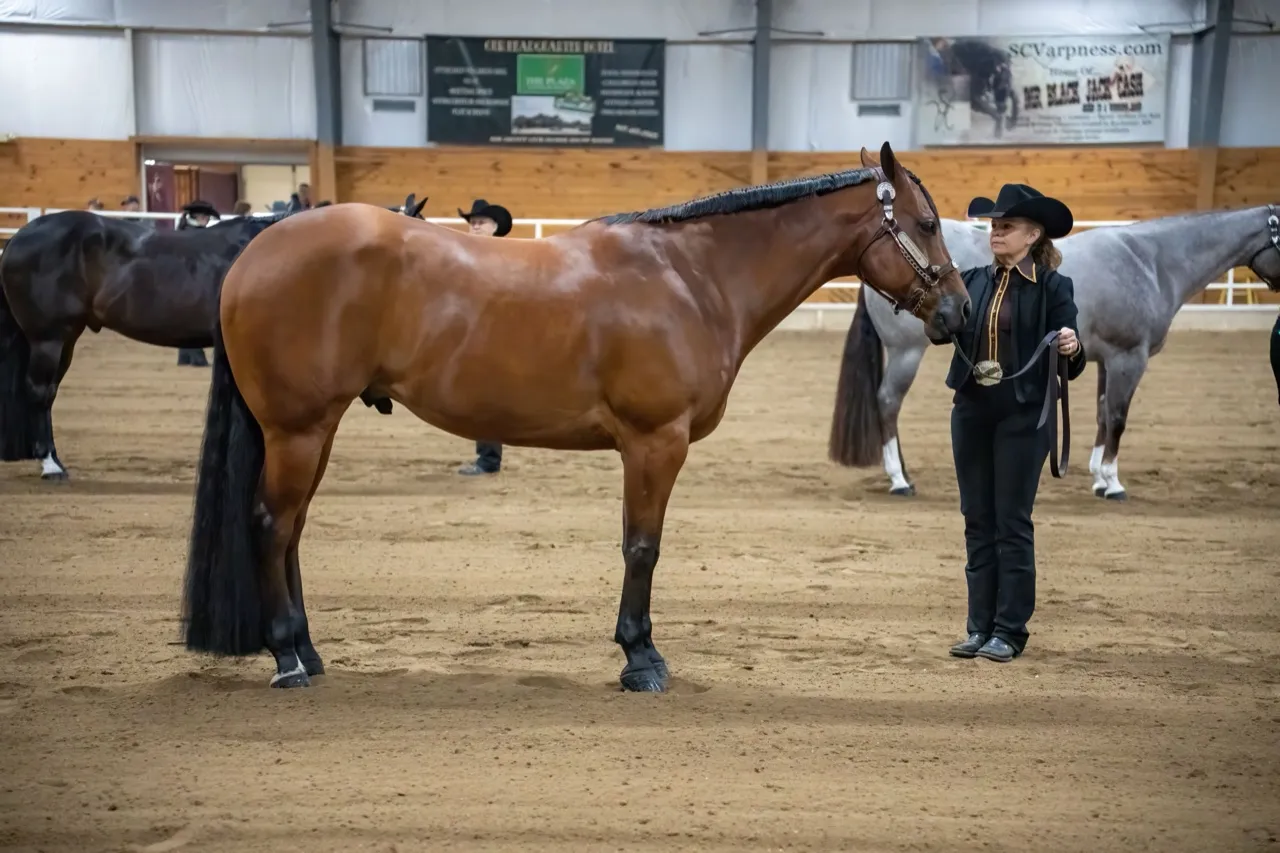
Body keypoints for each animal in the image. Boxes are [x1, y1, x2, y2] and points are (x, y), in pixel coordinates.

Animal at [178, 141, 972, 693]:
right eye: (928, 223)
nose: (961, 312)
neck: (692, 276)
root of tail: (252, 255)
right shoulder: (656, 443)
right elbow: (642, 548)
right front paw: (641, 657)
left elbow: (636, 545)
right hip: (298, 429)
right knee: (272, 524)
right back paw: (288, 657)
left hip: (315, 430)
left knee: (292, 529)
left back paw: (309, 651)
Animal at [828, 204, 1280, 499]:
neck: (1148, 261)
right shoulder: (1128, 358)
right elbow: (1118, 417)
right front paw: (1112, 482)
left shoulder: (1106, 360)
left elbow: (1102, 413)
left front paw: (1097, 475)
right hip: (906, 352)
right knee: (887, 403)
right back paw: (899, 479)